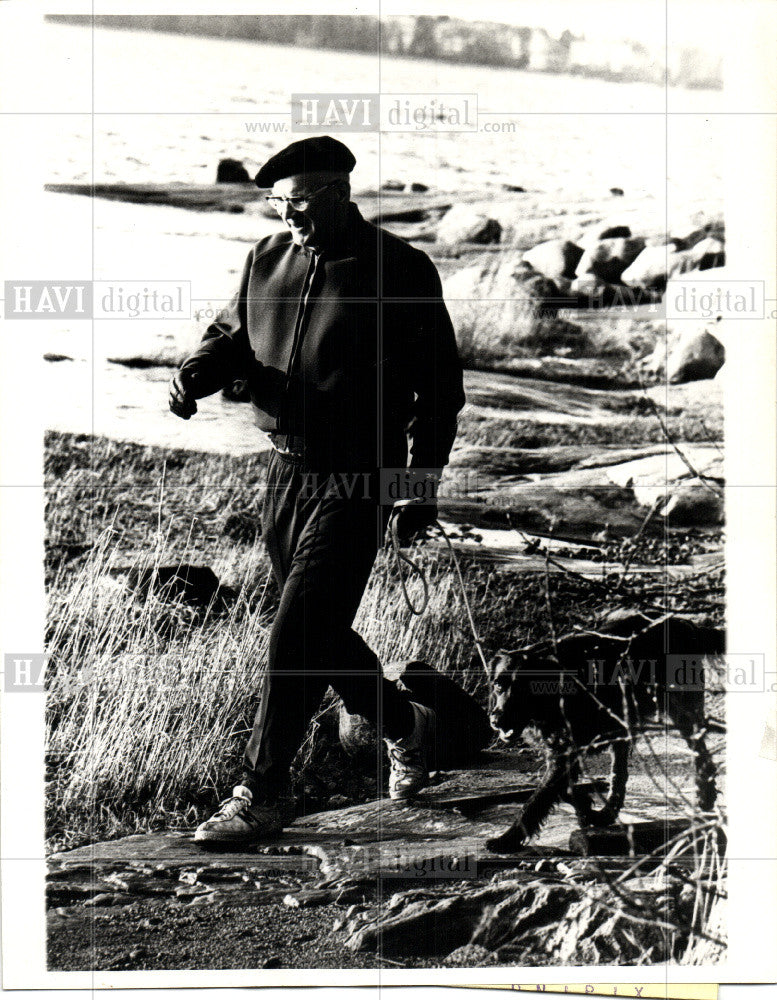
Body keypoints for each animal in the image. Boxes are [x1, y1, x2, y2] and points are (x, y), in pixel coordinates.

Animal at [488, 608, 724, 852]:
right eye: (498, 685)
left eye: (522, 689)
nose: (496, 720)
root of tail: (684, 623)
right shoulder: (566, 752)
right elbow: (566, 789)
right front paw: (586, 809)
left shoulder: (566, 754)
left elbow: (537, 800)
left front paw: (507, 838)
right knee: (619, 777)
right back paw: (604, 814)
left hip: (681, 712)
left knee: (702, 758)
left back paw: (704, 803)